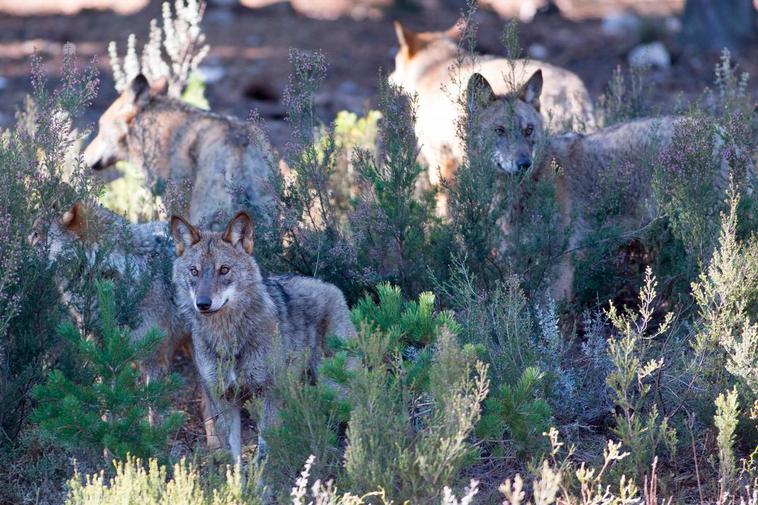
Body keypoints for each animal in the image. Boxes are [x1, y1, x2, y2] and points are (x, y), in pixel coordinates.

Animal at [171, 211, 358, 458]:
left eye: (224, 270)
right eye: (194, 271)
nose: (203, 303)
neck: (228, 337)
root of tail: (329, 285)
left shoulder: (266, 394)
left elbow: (264, 452)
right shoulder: (224, 400)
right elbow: (235, 457)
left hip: (335, 386)